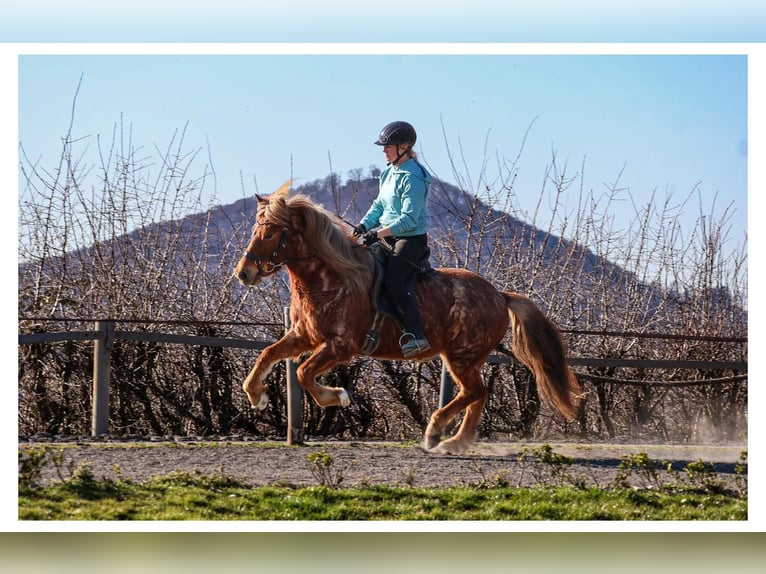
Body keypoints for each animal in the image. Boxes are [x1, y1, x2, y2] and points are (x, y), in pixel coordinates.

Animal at [234, 181, 581, 454]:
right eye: (255, 229)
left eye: (271, 232)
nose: (244, 273)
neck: (331, 278)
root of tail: (499, 294)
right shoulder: (304, 336)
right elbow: (268, 354)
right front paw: (257, 395)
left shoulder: (341, 346)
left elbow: (304, 373)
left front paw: (338, 397)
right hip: (464, 358)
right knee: (476, 395)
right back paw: (454, 441)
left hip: (462, 357)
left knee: (475, 392)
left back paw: (438, 433)